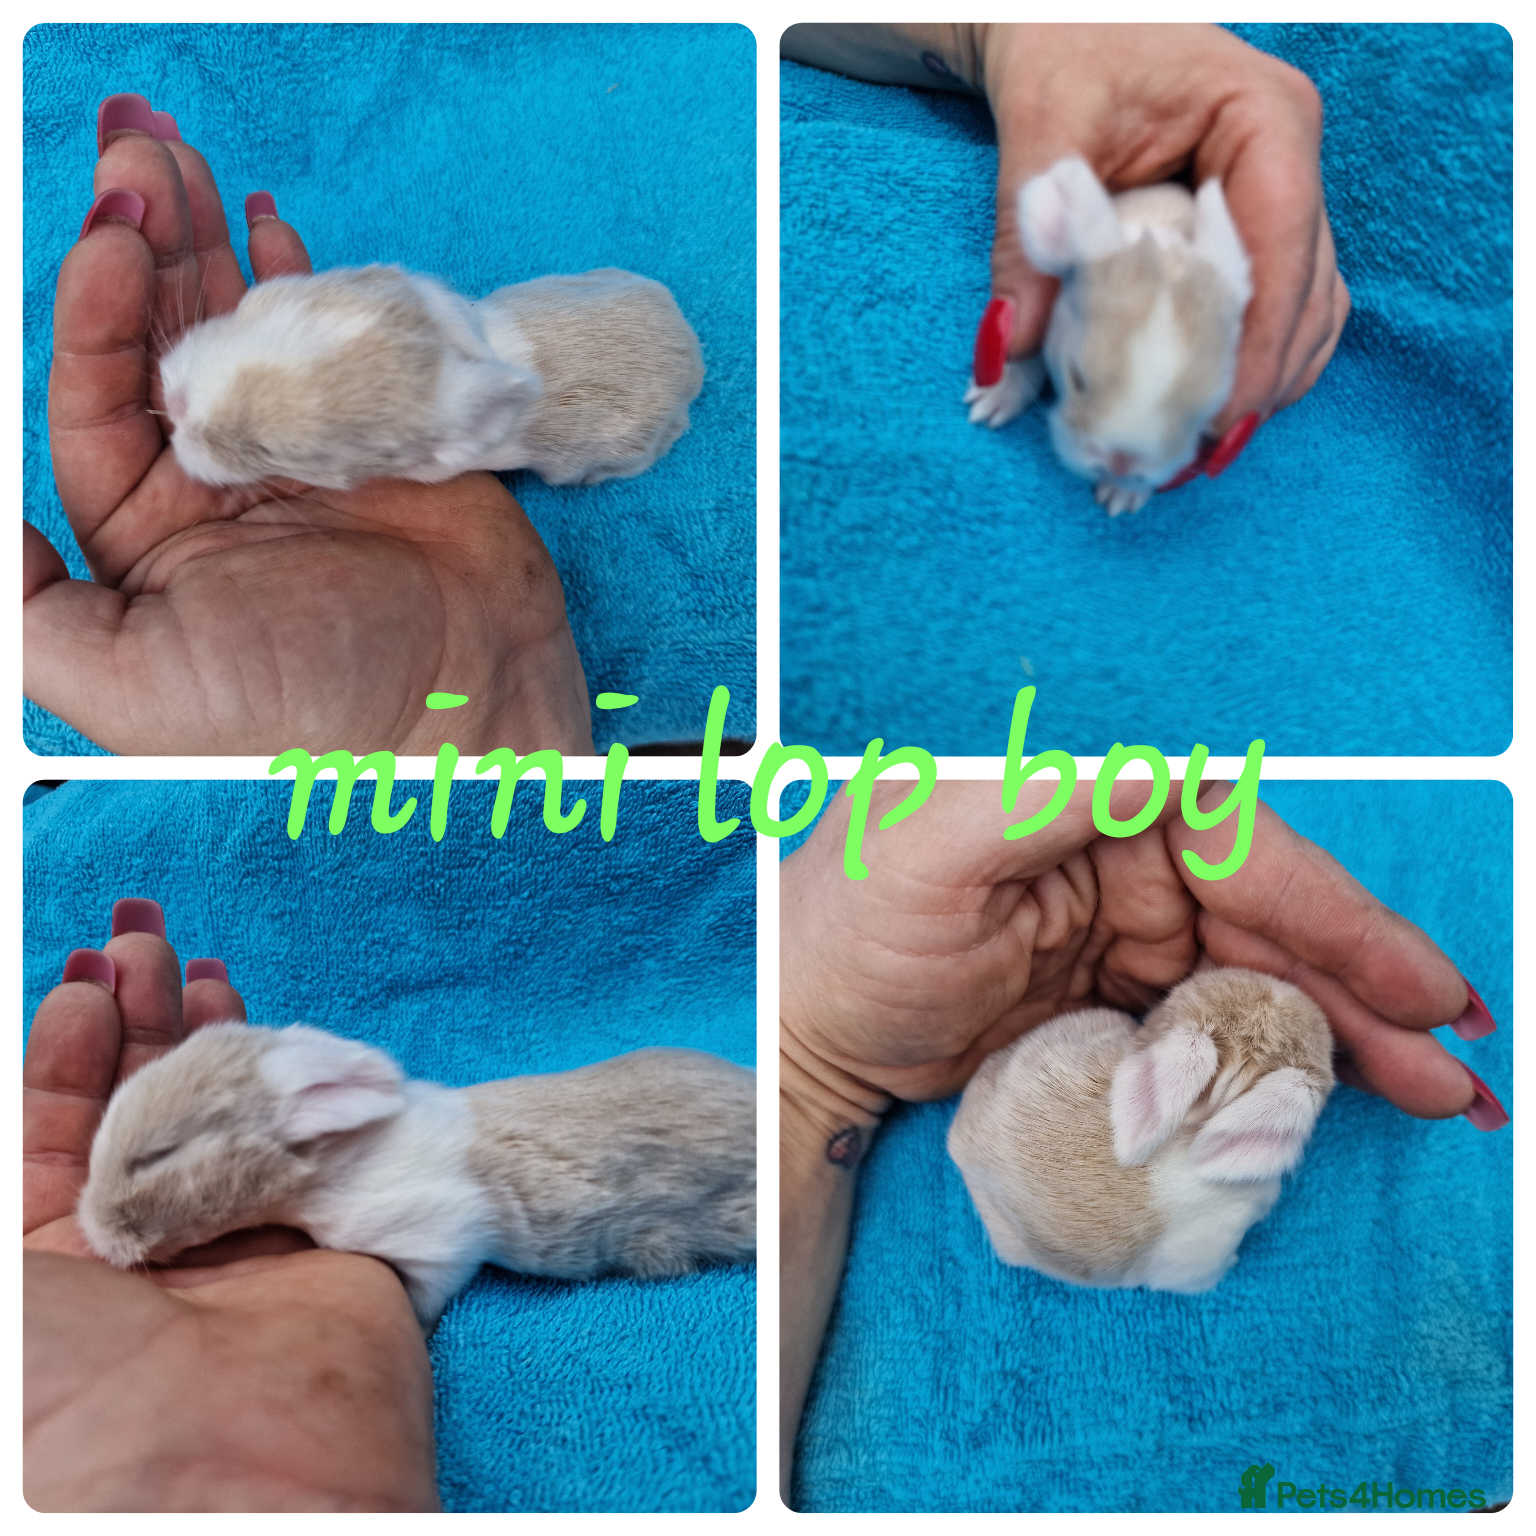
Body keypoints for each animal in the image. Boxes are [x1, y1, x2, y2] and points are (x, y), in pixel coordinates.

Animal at [964, 156, 1252, 515]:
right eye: (1076, 377)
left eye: (1203, 415)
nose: (1121, 463)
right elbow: (1027, 347)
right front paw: (996, 391)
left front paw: (1122, 492)